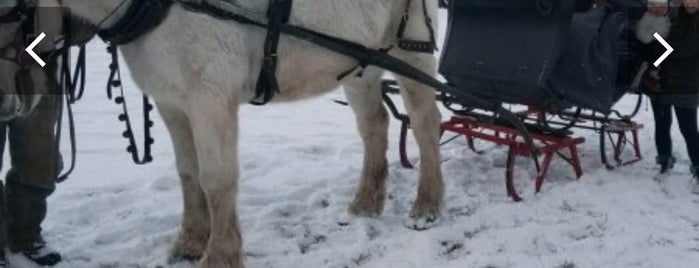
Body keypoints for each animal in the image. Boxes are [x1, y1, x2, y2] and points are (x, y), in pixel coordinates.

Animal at [53, 1, 442, 266]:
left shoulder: (210, 100)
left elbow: (216, 179)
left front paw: (219, 256)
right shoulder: (172, 104)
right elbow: (188, 174)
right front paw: (189, 243)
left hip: (412, 50)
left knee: (425, 124)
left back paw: (427, 205)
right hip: (361, 64)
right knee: (374, 125)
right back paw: (365, 203)